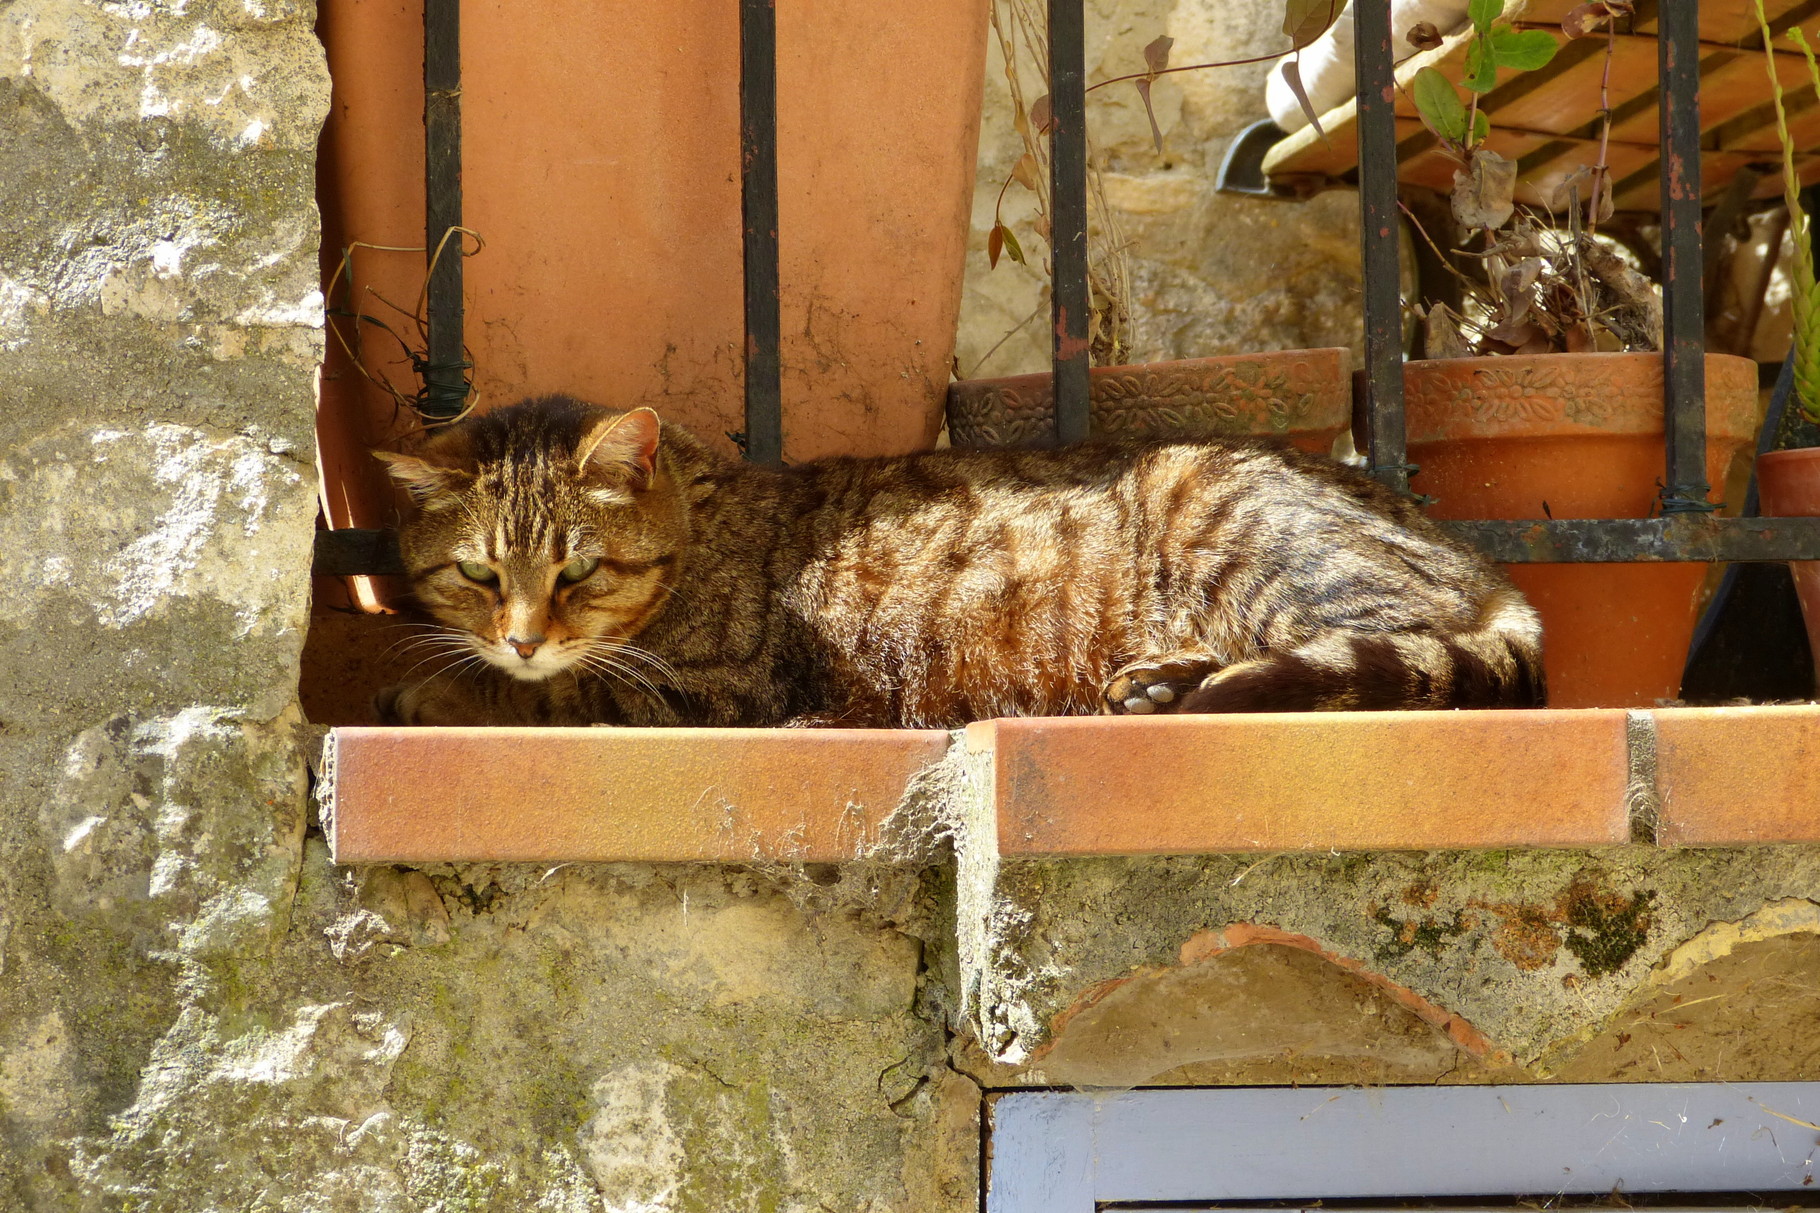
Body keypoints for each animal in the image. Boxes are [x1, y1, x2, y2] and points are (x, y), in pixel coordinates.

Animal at [376, 391, 1543, 721]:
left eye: (577, 573)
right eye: (478, 576)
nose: (522, 637)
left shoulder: (711, 691)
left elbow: (563, 695)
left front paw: (442, 694)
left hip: (1229, 520)